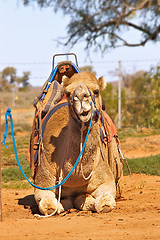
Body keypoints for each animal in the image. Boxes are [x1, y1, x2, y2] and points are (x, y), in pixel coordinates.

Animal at [33, 71, 122, 216]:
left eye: (96, 91)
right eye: (68, 93)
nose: (80, 96)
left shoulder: (106, 182)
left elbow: (104, 203)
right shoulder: (43, 185)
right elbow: (49, 206)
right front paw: (62, 205)